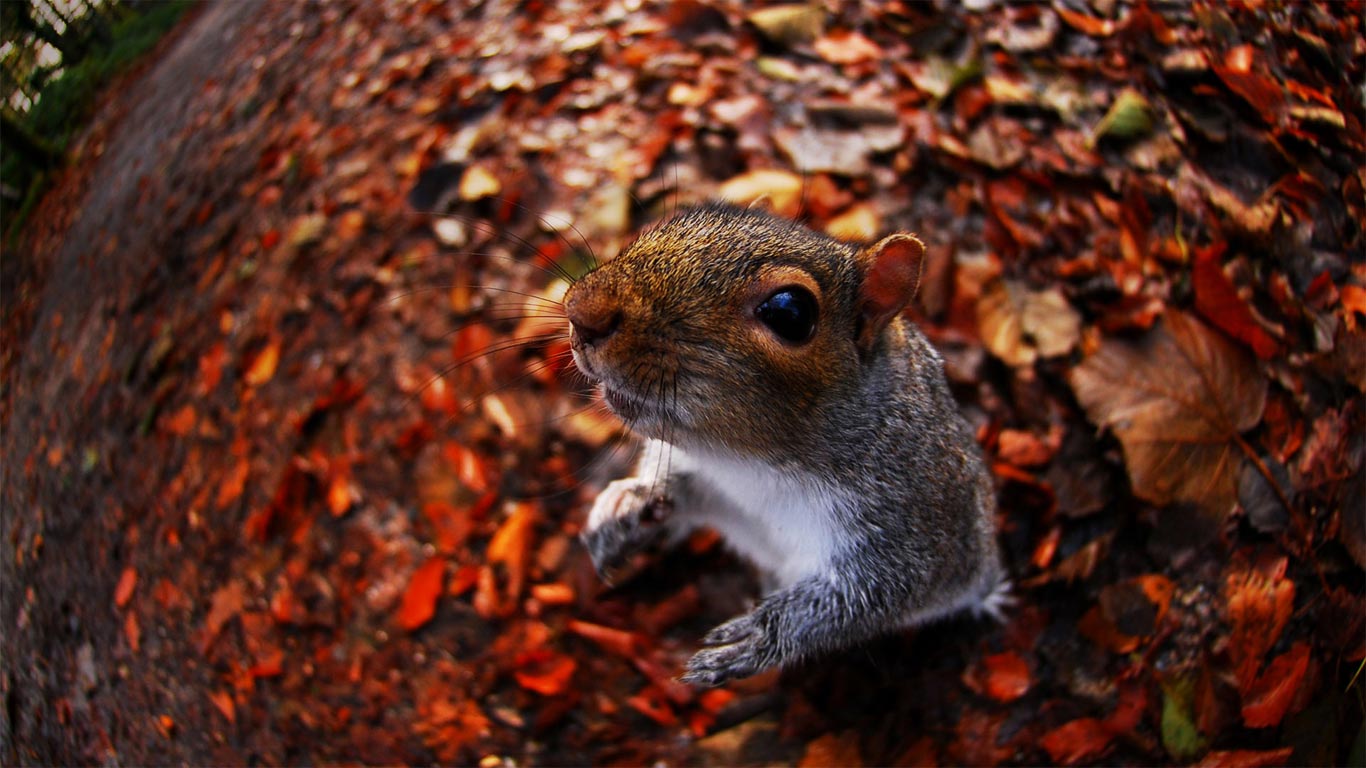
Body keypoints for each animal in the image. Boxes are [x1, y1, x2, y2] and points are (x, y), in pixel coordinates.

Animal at [564, 202, 1008, 686]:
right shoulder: (709, 478)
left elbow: (877, 594)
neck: (752, 463)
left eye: (790, 313)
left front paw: (764, 633)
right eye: (671, 222)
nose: (580, 311)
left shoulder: (910, 527)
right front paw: (629, 503)